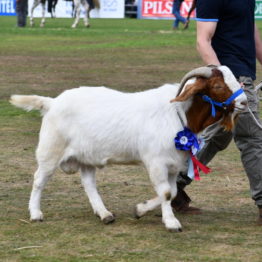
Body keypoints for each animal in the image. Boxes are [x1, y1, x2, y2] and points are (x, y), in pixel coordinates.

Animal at [10, 65, 248, 231]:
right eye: (218, 86)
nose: (245, 102)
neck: (179, 113)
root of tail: (52, 102)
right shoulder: (156, 162)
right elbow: (166, 192)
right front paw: (171, 223)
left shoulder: (173, 163)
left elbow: (170, 192)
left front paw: (141, 210)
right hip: (51, 150)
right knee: (39, 179)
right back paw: (36, 213)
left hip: (87, 157)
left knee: (88, 183)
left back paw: (104, 213)